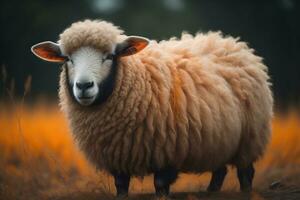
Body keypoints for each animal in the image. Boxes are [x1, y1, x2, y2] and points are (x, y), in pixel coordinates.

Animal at [31, 19, 274, 197]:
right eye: (67, 59)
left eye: (109, 56)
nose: (83, 86)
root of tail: (230, 41)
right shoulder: (118, 156)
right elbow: (121, 187)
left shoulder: (168, 151)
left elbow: (160, 185)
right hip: (219, 141)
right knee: (220, 171)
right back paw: (211, 193)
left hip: (250, 137)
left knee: (245, 173)